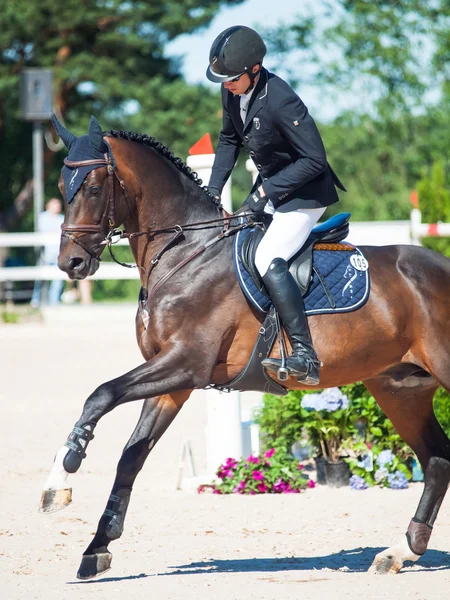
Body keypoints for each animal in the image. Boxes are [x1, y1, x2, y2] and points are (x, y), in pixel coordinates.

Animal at [39, 115, 450, 580]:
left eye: (92, 188)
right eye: (62, 184)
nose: (70, 263)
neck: (186, 252)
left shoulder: (185, 363)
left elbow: (100, 395)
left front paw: (59, 480)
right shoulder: (173, 382)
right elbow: (131, 455)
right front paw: (96, 548)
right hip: (400, 389)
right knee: (437, 460)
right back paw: (401, 552)